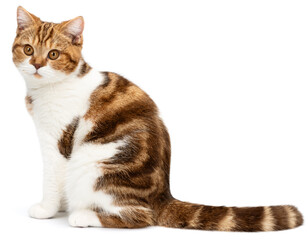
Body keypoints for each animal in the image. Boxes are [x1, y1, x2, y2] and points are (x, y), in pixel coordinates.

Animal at [12, 6, 304, 231]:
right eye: (28, 50)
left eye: (53, 54)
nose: (37, 64)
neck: (48, 89)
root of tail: (163, 196)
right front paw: (58, 206)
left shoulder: (58, 142)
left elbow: (51, 179)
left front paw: (47, 209)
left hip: (93, 168)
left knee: (141, 217)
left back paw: (83, 215)